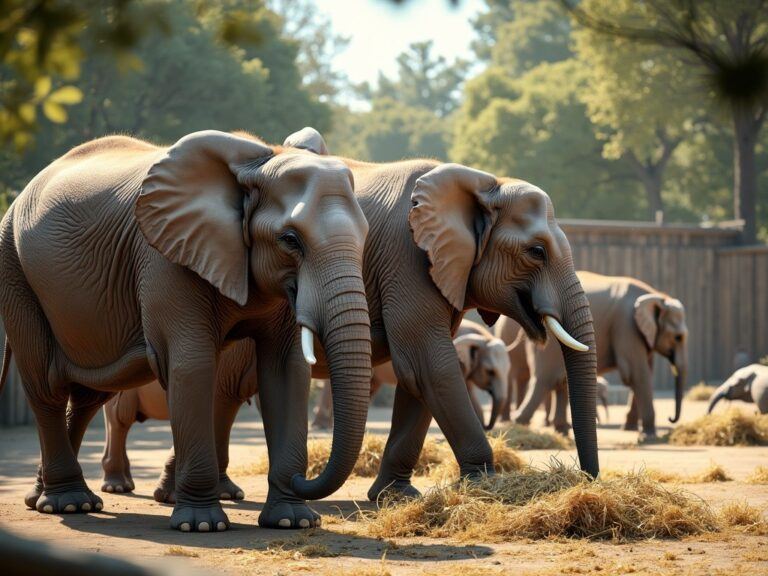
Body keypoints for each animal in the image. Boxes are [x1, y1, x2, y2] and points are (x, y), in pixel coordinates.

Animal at [0, 129, 372, 532]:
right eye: (290, 239)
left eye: (365, 235)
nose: (302, 477)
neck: (257, 162)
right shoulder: (164, 258)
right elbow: (193, 366)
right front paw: (202, 526)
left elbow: (286, 370)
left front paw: (293, 521)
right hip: (15, 270)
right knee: (47, 387)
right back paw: (70, 503)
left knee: (88, 394)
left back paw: (44, 499)